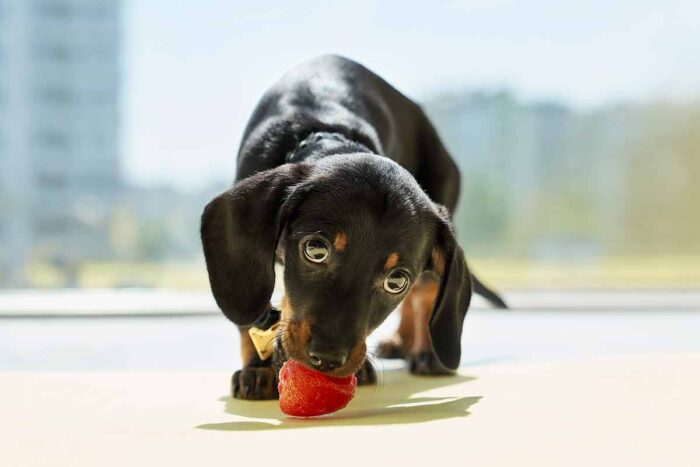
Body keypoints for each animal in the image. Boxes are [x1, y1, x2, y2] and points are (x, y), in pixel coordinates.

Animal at [200, 54, 506, 398]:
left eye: (395, 281)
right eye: (315, 249)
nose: (327, 358)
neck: (325, 131)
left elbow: (419, 291)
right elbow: (252, 316)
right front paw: (257, 368)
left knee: (426, 289)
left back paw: (425, 351)